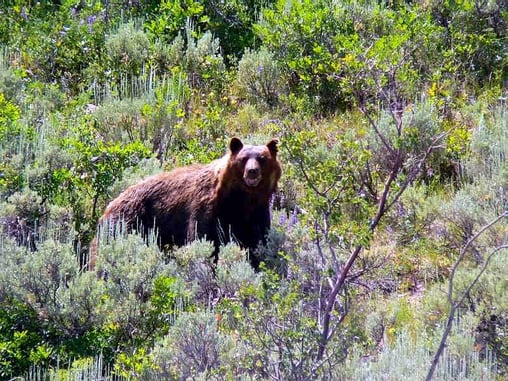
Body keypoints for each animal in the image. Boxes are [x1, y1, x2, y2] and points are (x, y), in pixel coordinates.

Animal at [91, 138, 282, 268]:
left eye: (262, 158)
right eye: (243, 159)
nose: (252, 172)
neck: (240, 199)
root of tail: (107, 208)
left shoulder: (257, 212)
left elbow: (258, 241)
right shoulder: (205, 206)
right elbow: (201, 236)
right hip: (125, 223)